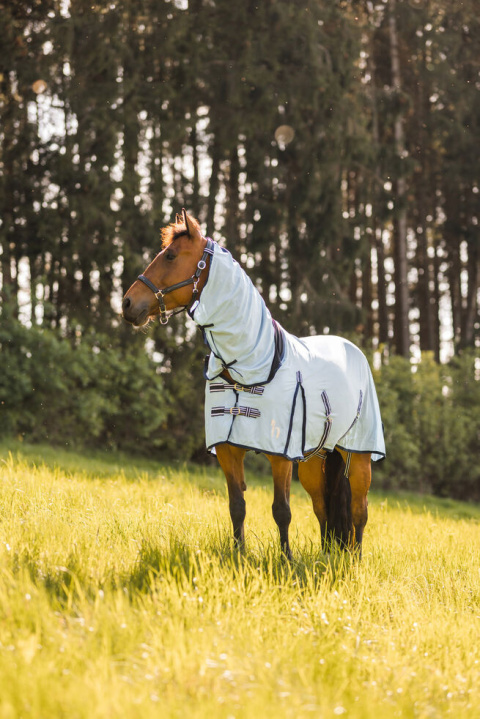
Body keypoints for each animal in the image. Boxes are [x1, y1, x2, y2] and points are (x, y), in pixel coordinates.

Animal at [122, 211, 384, 560]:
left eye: (171, 256)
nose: (127, 303)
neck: (250, 365)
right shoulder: (229, 451)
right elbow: (237, 506)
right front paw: (239, 555)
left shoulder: (280, 456)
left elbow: (281, 510)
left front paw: (286, 559)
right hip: (314, 462)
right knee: (322, 508)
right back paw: (328, 555)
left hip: (359, 457)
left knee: (359, 510)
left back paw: (353, 559)